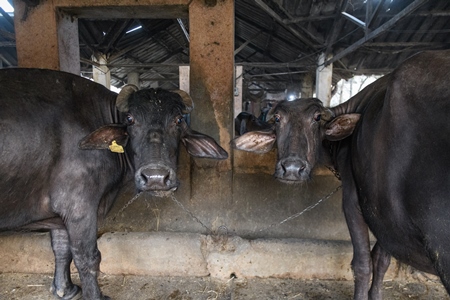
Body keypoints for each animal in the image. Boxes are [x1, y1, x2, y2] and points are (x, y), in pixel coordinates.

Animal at [0, 68, 227, 300]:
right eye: (130, 119)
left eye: (179, 119)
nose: (155, 177)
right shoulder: (79, 207)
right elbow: (87, 257)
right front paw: (95, 295)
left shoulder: (60, 213)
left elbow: (61, 247)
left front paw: (66, 289)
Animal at [232, 50, 450, 298]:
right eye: (277, 119)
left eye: (317, 118)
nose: (293, 169)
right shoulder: (384, 218)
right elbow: (381, 260)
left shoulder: (355, 201)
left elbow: (363, 263)